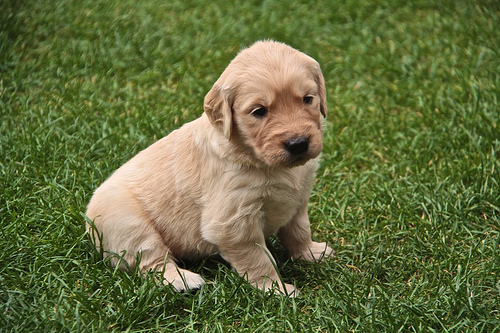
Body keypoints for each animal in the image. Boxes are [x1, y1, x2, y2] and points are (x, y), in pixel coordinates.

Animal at [87, 39, 332, 296]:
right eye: (259, 111)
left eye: (307, 99)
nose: (298, 144)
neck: (256, 157)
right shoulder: (233, 222)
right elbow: (258, 258)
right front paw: (275, 289)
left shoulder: (299, 198)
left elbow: (299, 229)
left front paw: (311, 253)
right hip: (129, 224)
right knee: (151, 261)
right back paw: (184, 280)